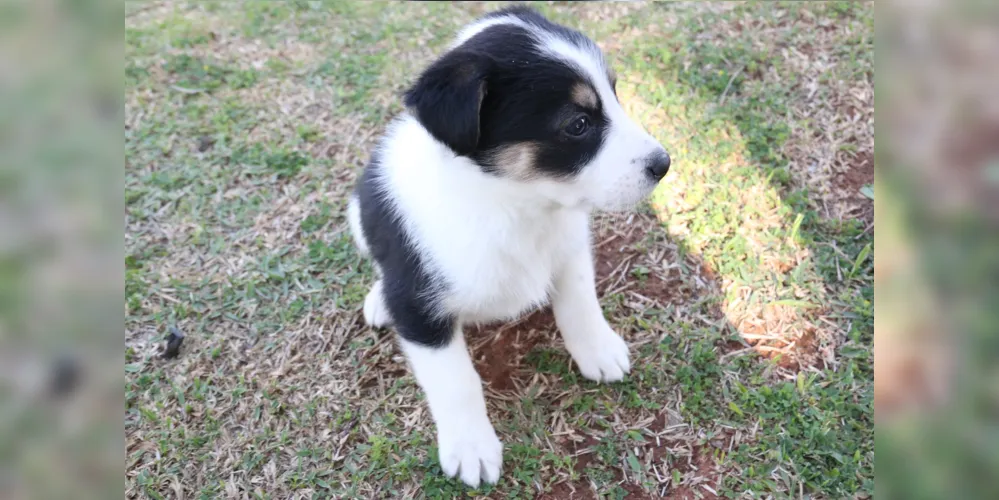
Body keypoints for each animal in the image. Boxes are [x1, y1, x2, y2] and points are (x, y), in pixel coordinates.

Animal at [346, 5, 672, 486]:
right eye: (578, 124)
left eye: (615, 94)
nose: (664, 164)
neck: (516, 205)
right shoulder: (419, 305)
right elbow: (456, 381)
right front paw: (471, 447)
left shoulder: (571, 246)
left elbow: (580, 303)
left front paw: (598, 350)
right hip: (358, 212)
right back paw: (377, 300)